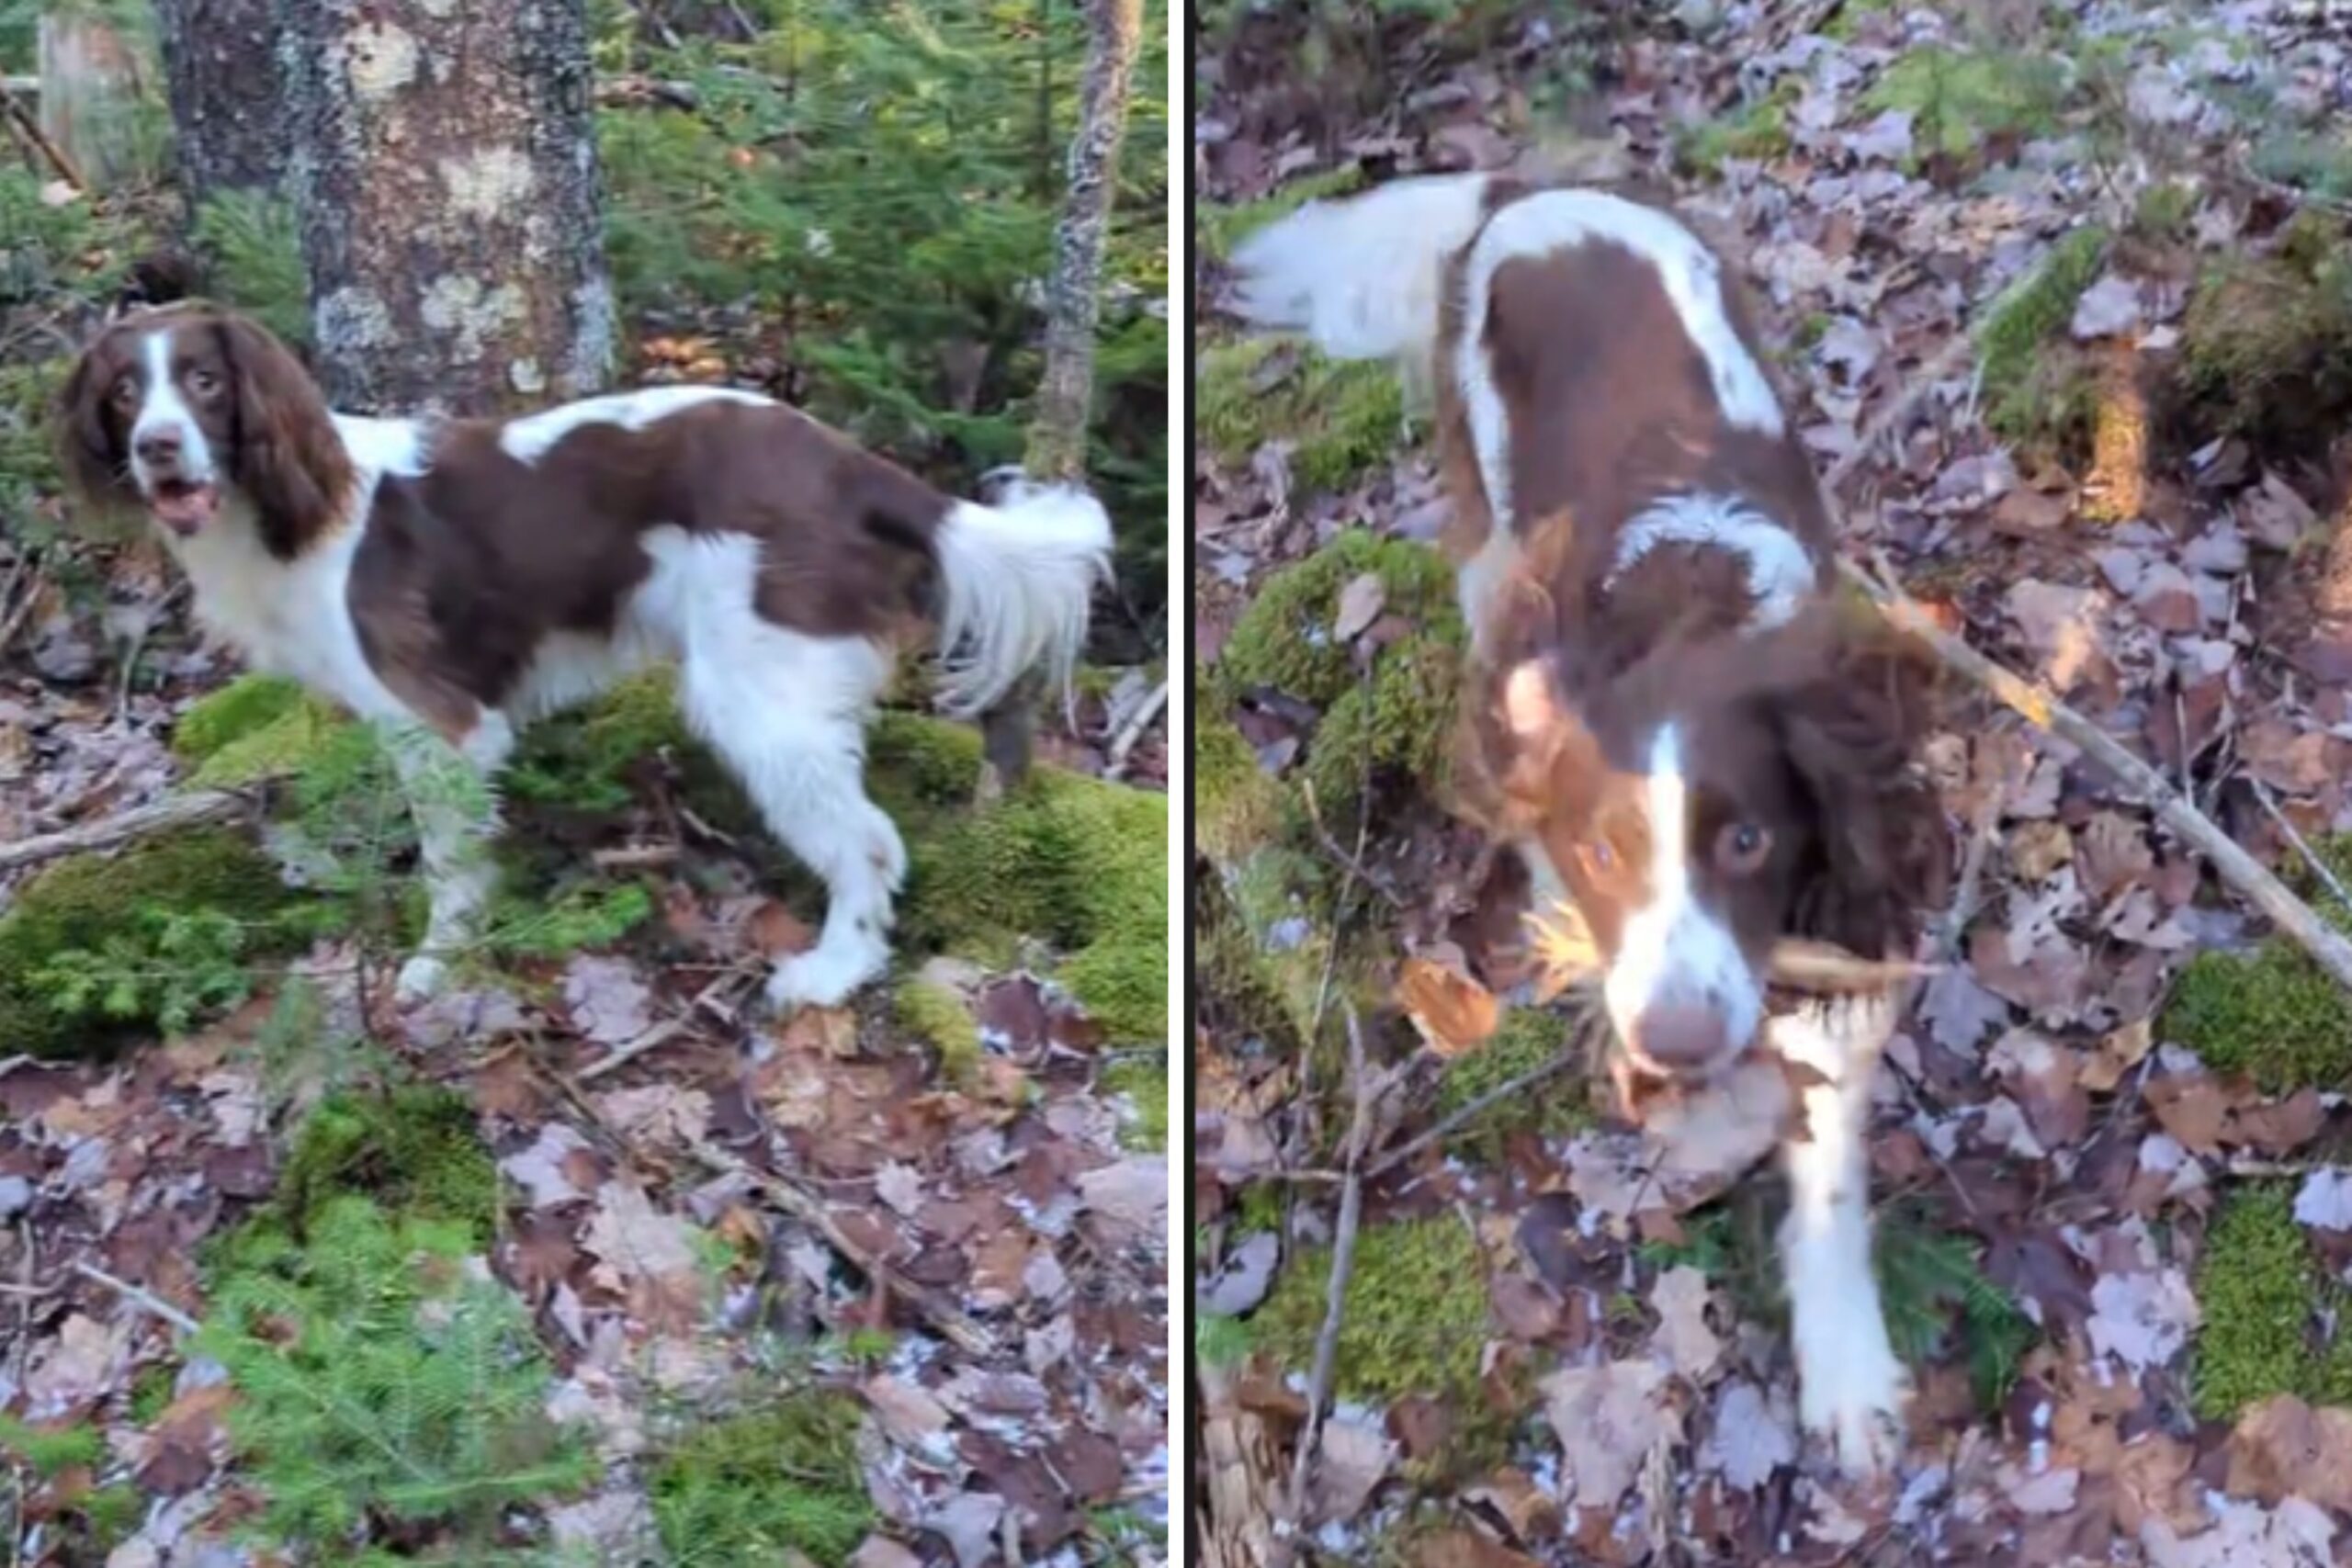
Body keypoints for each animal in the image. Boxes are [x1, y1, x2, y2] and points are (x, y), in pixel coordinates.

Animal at [62, 305, 1110, 1010]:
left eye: (204, 382)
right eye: (124, 392)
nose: (159, 448)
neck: (300, 510)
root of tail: (851, 466)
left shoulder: (440, 724)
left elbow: (451, 867)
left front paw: (438, 965)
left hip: (758, 696)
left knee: (870, 841)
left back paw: (830, 972)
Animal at [1232, 177, 1947, 1476]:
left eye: (1748, 842)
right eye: (1607, 851)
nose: (1672, 1041)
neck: (1688, 620)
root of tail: (1523, 189)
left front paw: (1845, 1368)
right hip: (1485, 526)